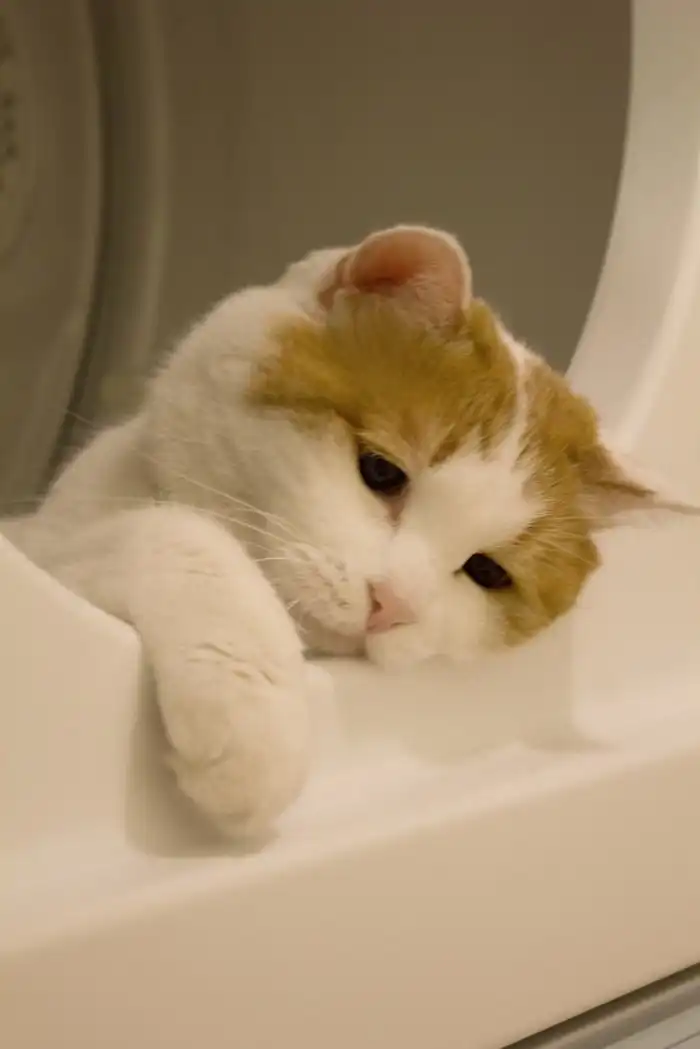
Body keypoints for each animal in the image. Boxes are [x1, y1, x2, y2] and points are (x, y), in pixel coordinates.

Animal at [4, 225, 695, 837]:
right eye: (380, 472)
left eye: (487, 571)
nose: (393, 605)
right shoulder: (46, 543)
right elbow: (181, 531)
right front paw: (255, 720)